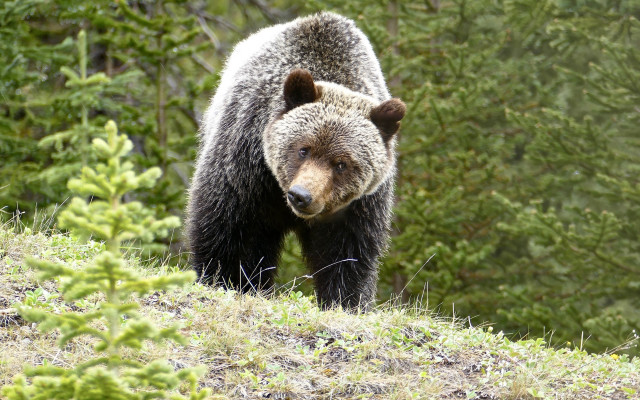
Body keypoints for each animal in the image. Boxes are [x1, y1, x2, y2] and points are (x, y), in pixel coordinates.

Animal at [187, 12, 405, 310]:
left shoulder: (359, 206)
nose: (302, 196)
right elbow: (231, 230)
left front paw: (344, 300)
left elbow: (347, 254)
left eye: (341, 163)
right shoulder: (246, 171)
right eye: (303, 149)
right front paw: (229, 280)